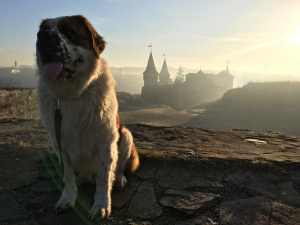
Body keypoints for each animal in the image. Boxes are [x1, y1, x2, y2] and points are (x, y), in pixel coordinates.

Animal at [35, 14, 139, 219]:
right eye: (42, 30)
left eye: (68, 31)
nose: (42, 36)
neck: (72, 95)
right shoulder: (60, 143)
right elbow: (67, 176)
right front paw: (67, 199)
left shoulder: (106, 142)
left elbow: (105, 177)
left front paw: (101, 205)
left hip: (125, 134)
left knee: (118, 168)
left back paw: (119, 179)